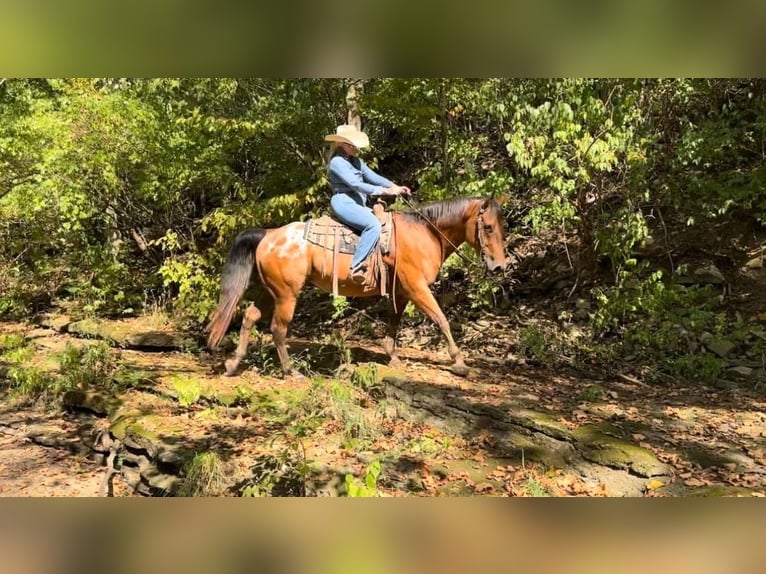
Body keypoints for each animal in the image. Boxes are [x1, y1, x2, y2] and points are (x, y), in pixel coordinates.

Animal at [207, 196, 512, 380]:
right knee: (278, 329)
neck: (424, 233)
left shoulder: (401, 291)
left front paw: (392, 355)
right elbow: (441, 319)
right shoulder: (417, 288)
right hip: (286, 295)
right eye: (487, 227)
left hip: (270, 292)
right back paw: (290, 370)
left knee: (250, 317)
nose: (499, 266)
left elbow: (394, 321)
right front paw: (459, 362)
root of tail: (268, 234)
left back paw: (233, 364)